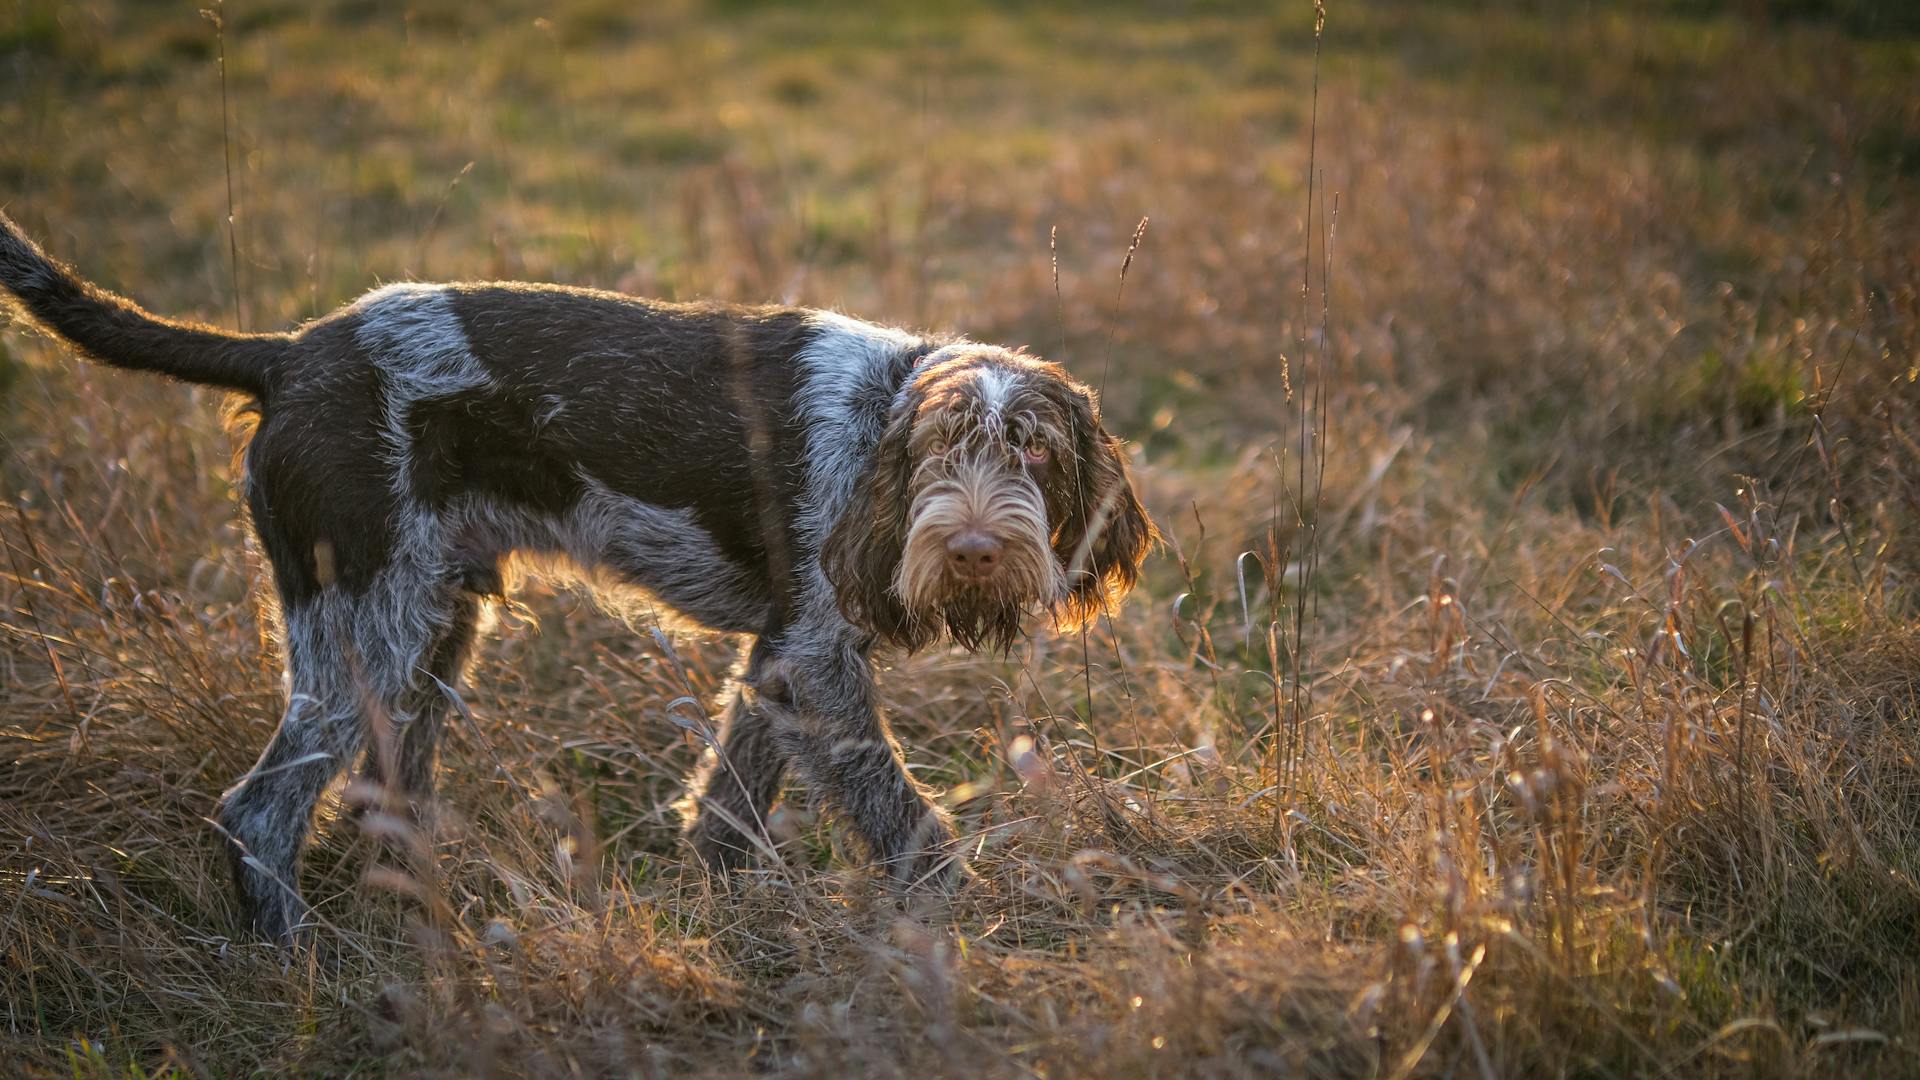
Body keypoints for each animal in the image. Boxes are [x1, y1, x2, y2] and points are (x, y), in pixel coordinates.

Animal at [0, 212, 1152, 941]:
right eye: (934, 455)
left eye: (1035, 453)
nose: (974, 551)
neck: (879, 416)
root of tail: (285, 355)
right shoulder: (819, 662)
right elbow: (904, 819)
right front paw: (969, 919)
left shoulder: (782, 661)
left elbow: (727, 811)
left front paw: (739, 915)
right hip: (362, 627)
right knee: (259, 813)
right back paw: (296, 965)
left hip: (434, 623)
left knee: (383, 793)